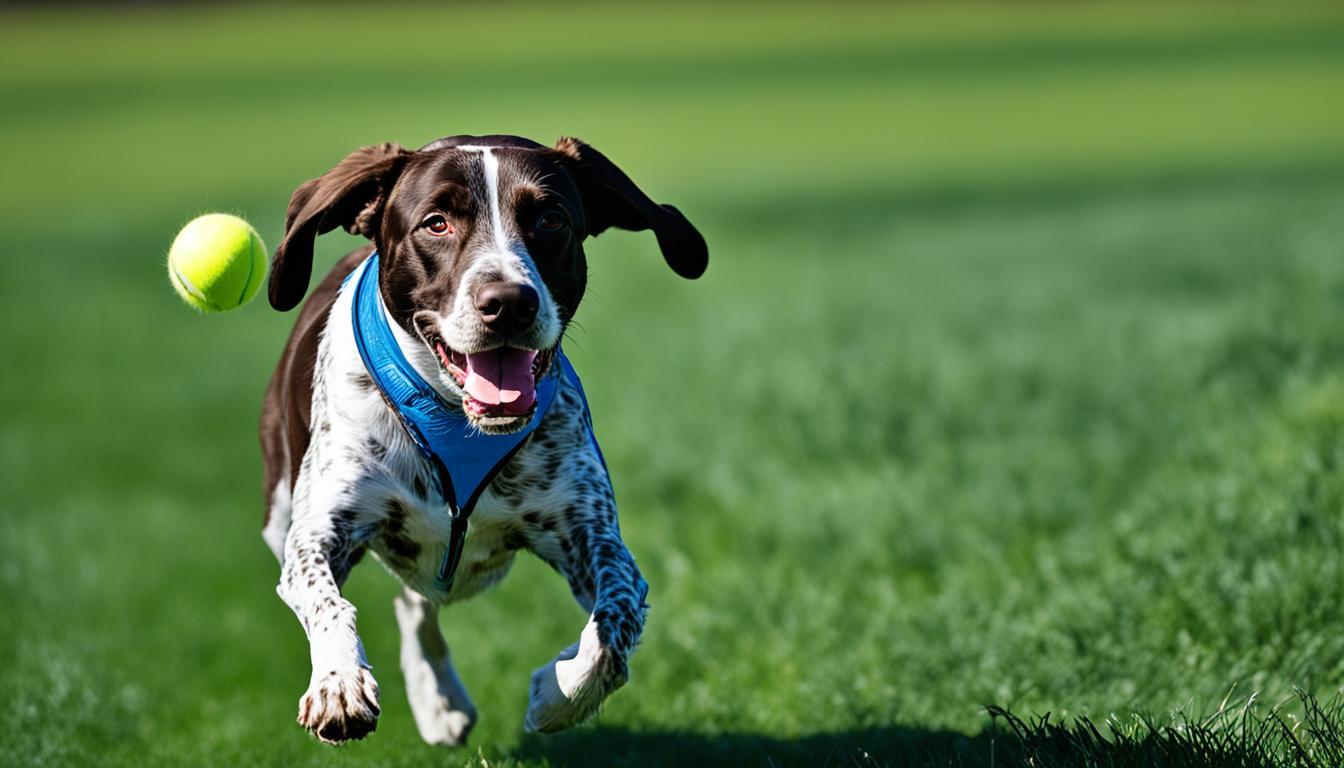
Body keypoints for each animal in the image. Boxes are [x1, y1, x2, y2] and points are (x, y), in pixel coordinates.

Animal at [255, 133, 709, 747]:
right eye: (436, 223)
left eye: (550, 218)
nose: (510, 301)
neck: (454, 421)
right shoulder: (318, 535)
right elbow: (327, 602)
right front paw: (339, 685)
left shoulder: (590, 537)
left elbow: (615, 625)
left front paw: (555, 694)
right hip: (280, 509)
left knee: (418, 604)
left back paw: (441, 699)